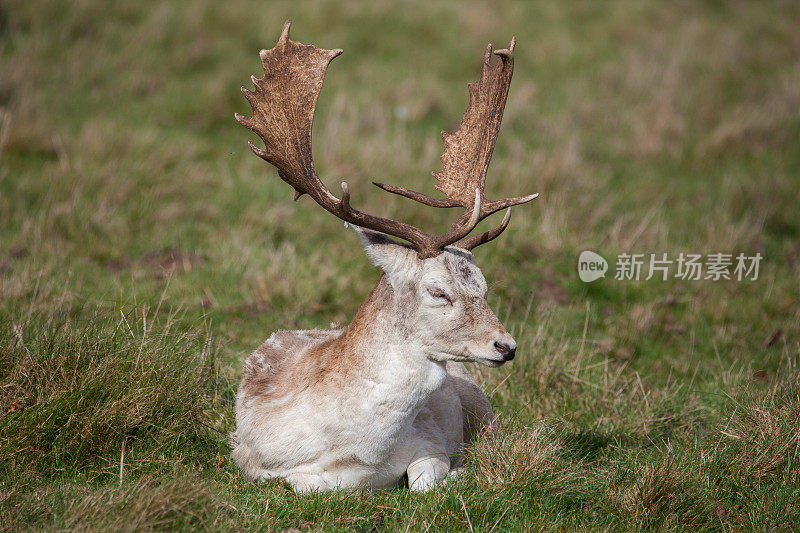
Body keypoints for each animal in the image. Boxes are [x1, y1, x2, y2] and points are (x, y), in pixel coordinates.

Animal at [230, 21, 536, 490]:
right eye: (437, 291)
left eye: (484, 288)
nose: (506, 345)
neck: (360, 451)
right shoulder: (252, 460)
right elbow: (305, 482)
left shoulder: (430, 440)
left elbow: (426, 481)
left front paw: (460, 472)